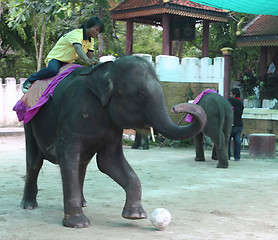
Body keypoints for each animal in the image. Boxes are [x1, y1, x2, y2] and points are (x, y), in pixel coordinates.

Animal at [20, 54, 206, 229]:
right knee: (35, 161)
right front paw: (78, 224)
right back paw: (29, 206)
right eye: (140, 95)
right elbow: (67, 157)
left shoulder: (114, 127)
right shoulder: (71, 115)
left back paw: (83, 203)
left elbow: (109, 161)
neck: (107, 70)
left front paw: (136, 215)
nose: (176, 107)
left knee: (82, 164)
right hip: (29, 121)